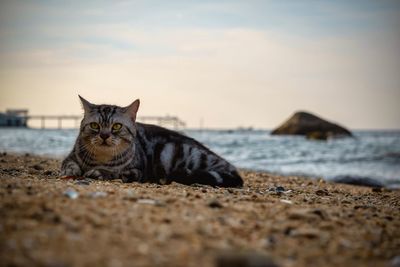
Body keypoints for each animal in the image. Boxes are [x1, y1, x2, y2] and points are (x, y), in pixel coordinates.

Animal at [60, 97, 244, 188]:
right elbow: (69, 164)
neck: (101, 158)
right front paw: (71, 170)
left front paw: (100, 172)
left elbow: (116, 172)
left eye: (117, 126)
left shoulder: (137, 171)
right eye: (95, 126)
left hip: (175, 151)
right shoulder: (70, 157)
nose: (104, 136)